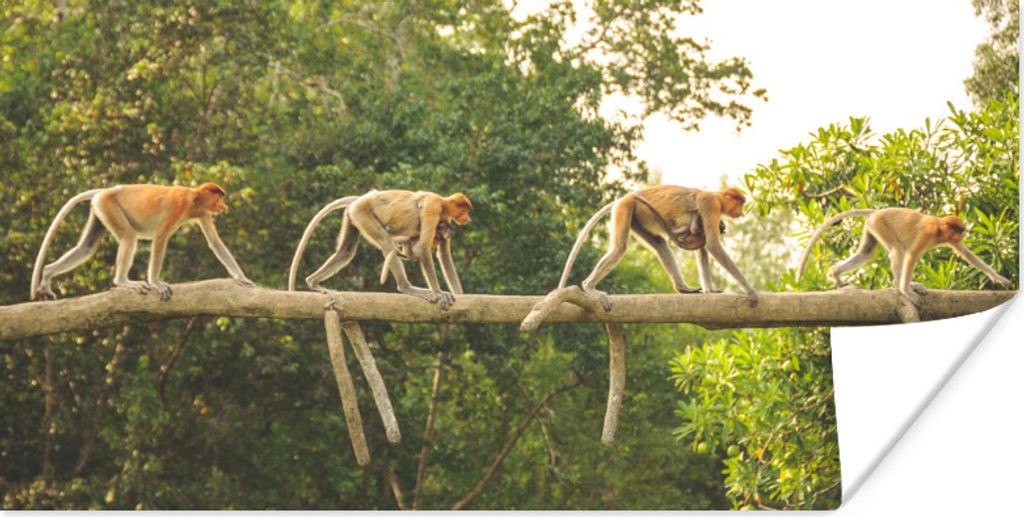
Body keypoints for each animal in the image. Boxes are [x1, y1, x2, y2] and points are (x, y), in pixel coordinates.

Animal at [30, 183, 255, 301]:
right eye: (219, 198)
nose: (224, 206)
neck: (195, 198)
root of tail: (106, 190)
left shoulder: (203, 213)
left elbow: (215, 243)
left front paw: (242, 278)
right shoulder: (179, 205)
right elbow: (160, 237)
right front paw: (156, 283)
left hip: (100, 209)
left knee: (86, 246)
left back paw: (47, 273)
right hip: (109, 205)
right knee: (129, 237)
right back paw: (123, 281)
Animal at [288, 190, 471, 310]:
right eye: (464, 209)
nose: (468, 219)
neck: (444, 204)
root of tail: (360, 199)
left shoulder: (446, 220)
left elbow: (445, 254)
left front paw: (461, 295)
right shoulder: (433, 207)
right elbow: (425, 248)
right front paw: (439, 292)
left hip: (352, 216)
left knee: (346, 251)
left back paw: (313, 282)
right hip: (362, 213)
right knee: (385, 241)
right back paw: (407, 287)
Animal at [558, 185, 758, 310]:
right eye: (739, 202)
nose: (741, 212)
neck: (716, 196)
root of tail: (625, 197)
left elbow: (702, 250)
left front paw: (710, 290)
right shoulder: (710, 205)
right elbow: (713, 245)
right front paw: (750, 291)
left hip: (637, 218)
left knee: (660, 244)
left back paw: (683, 288)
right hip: (625, 208)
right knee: (619, 248)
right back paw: (588, 287)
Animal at [796, 207, 1013, 306]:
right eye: (958, 230)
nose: (961, 235)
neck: (939, 229)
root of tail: (875, 212)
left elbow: (967, 254)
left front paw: (1000, 279)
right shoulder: (927, 234)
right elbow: (911, 254)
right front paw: (906, 292)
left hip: (872, 228)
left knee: (866, 253)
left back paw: (835, 274)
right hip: (881, 225)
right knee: (898, 250)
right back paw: (901, 286)